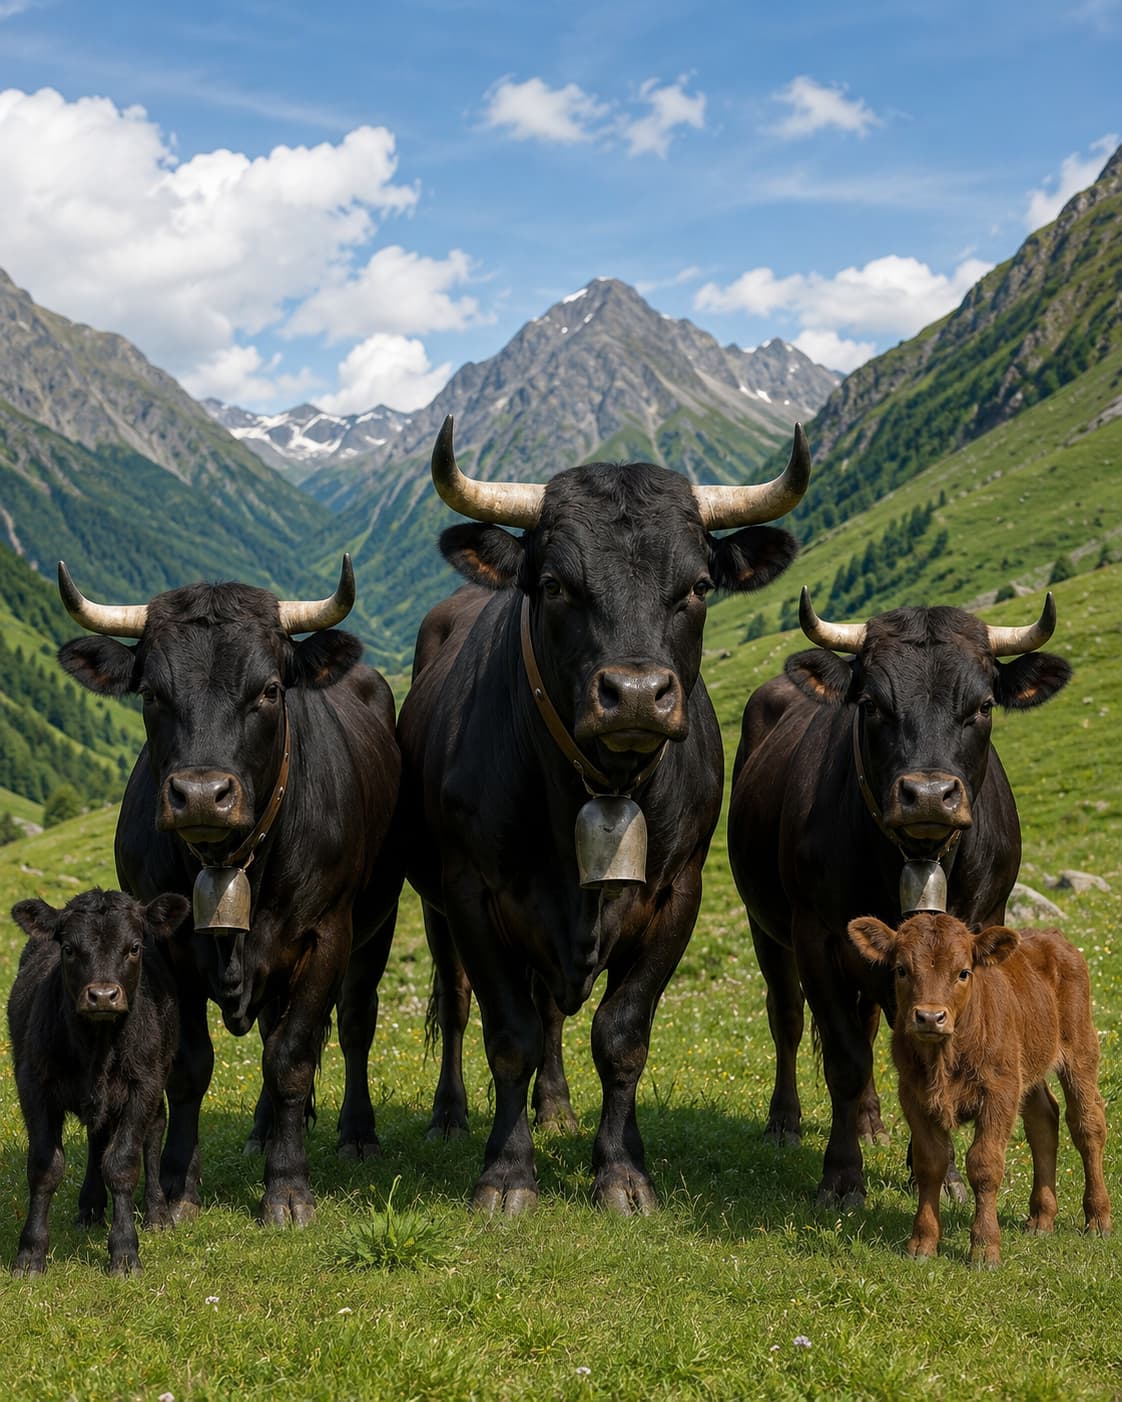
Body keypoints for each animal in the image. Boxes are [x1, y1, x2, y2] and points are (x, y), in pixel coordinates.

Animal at [7, 888, 190, 1275]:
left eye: (133, 947)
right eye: (68, 948)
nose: (103, 996)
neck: (98, 1047)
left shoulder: (143, 1086)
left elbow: (122, 1164)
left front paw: (124, 1251)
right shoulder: (33, 1085)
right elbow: (45, 1166)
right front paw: (30, 1253)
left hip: (158, 1077)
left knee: (153, 1133)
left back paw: (157, 1212)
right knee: (97, 1139)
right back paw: (90, 1207)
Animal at [55, 557, 403, 1227]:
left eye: (268, 690)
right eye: (150, 692)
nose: (200, 795)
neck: (231, 862)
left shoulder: (326, 934)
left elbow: (293, 1057)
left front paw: (288, 1188)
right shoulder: (164, 952)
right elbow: (192, 1066)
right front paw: (177, 1186)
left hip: (379, 924)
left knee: (353, 1024)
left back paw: (357, 1133)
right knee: (268, 1028)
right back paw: (264, 1130)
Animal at [397, 415, 809, 1214]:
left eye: (698, 585)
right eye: (555, 584)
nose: (638, 694)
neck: (601, 785)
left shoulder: (678, 893)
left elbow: (621, 1035)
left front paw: (621, 1171)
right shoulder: (471, 893)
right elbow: (508, 1032)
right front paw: (505, 1174)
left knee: (556, 1012)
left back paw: (556, 1107)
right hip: (434, 907)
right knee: (461, 1006)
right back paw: (450, 1115)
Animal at [728, 589, 1072, 1205]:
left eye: (984, 705)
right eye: (871, 704)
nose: (929, 794)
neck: (918, 856)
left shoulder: (977, 932)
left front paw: (942, 1173)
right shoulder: (816, 936)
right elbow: (843, 1058)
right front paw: (842, 1176)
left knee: (867, 1023)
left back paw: (871, 1121)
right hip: (764, 925)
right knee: (788, 1017)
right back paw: (785, 1123)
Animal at [847, 911, 1112, 1266]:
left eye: (963, 972)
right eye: (901, 969)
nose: (929, 1017)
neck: (945, 1057)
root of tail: (1051, 936)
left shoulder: (999, 1092)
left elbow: (984, 1165)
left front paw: (985, 1248)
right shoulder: (912, 1095)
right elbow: (930, 1163)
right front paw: (922, 1242)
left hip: (1080, 1050)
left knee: (1087, 1124)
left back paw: (1098, 1219)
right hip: (1026, 1066)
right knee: (1043, 1121)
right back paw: (1041, 1218)